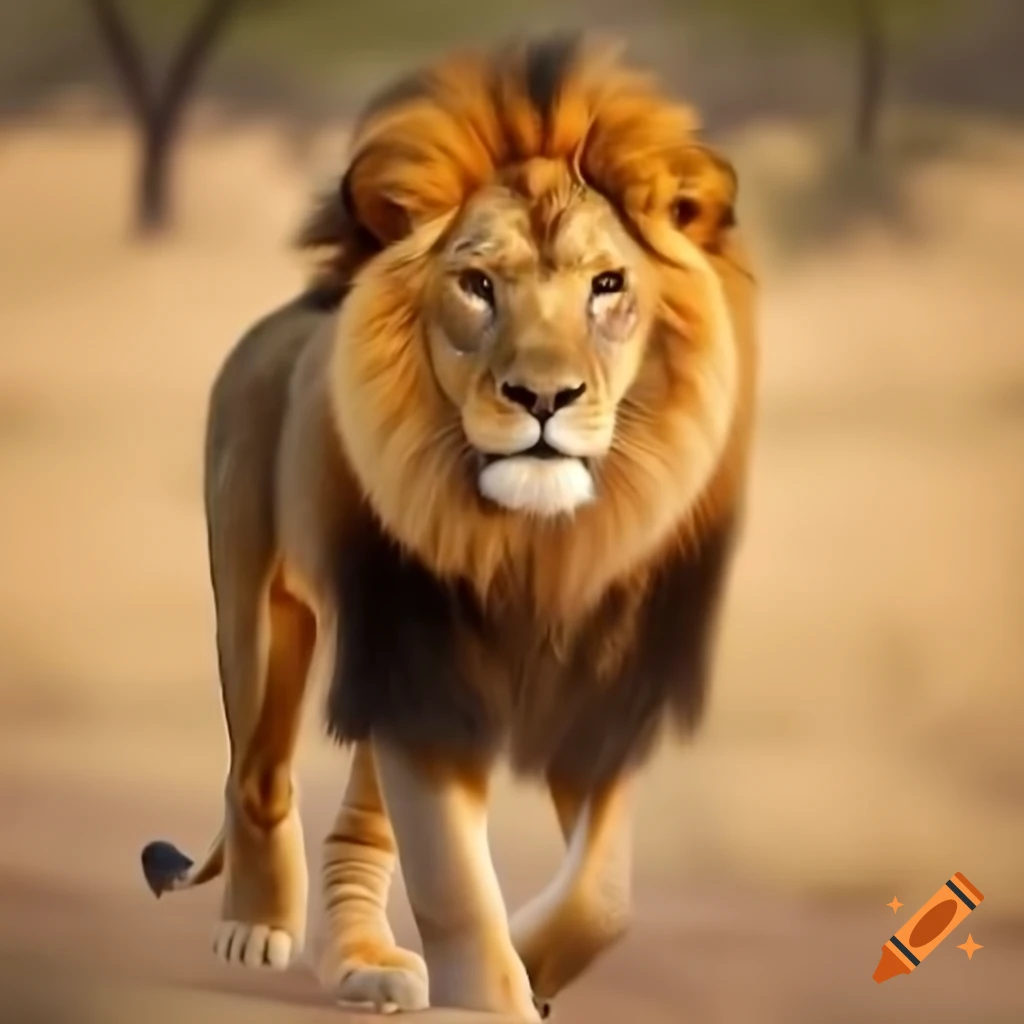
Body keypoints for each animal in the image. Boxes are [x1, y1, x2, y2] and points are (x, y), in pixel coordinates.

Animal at [139, 35, 757, 1021]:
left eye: (608, 286)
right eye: (476, 285)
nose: (543, 396)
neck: (533, 543)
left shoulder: (587, 689)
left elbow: (605, 895)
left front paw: (534, 962)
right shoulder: (415, 665)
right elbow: (455, 883)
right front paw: (497, 988)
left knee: (361, 821)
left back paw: (362, 962)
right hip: (262, 611)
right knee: (257, 775)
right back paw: (258, 926)